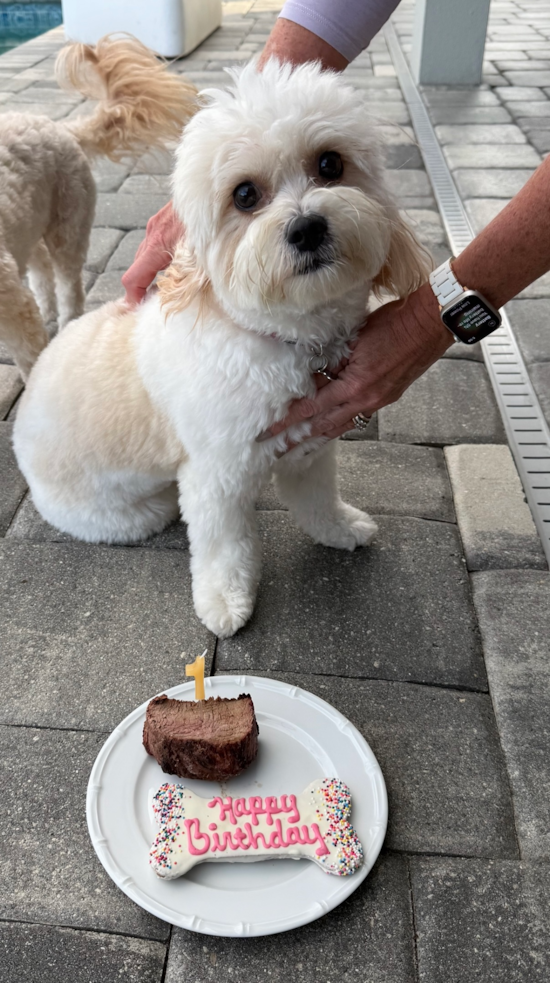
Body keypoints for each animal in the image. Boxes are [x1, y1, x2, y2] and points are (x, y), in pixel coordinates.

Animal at [0, 36, 198, 378]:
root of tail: (63, 128)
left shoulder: (11, 305)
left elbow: (28, 355)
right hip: (31, 222)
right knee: (40, 262)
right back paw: (47, 308)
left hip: (68, 223)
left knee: (68, 284)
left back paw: (63, 321)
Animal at [14, 61, 432, 640]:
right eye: (245, 195)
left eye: (330, 164)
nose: (307, 227)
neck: (280, 337)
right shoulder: (217, 477)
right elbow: (225, 547)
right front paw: (225, 601)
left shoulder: (310, 446)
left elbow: (318, 500)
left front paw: (341, 528)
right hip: (126, 513)